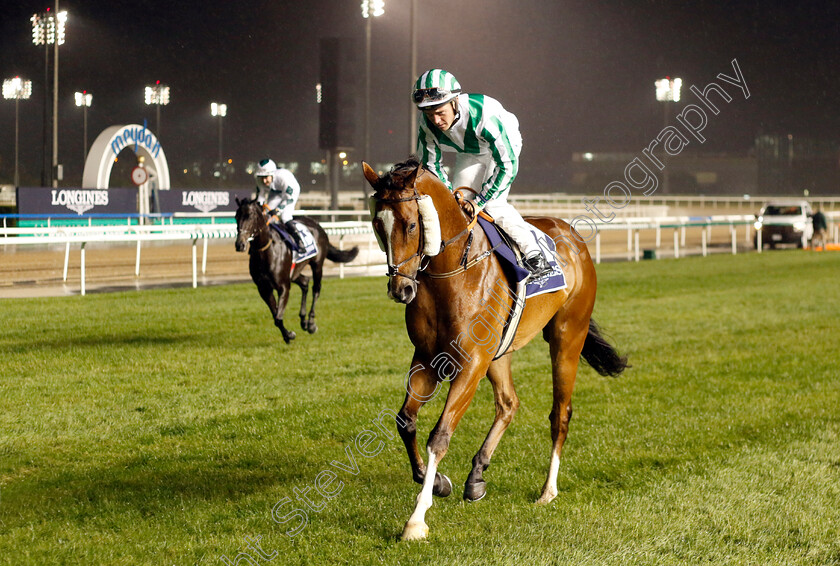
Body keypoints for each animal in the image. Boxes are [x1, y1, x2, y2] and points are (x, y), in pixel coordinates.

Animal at [233, 197, 358, 344]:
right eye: (236, 216)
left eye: (250, 216)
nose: (239, 244)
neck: (266, 251)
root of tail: (316, 224)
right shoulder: (264, 289)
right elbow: (276, 315)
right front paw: (288, 335)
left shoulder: (284, 286)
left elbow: (278, 317)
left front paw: (289, 334)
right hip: (294, 272)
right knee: (305, 282)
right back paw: (303, 321)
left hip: (317, 265)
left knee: (316, 289)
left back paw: (311, 323)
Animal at [364, 159, 628, 540]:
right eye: (376, 225)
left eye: (412, 224)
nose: (400, 290)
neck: (451, 272)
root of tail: (570, 232)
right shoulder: (427, 358)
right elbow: (405, 421)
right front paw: (438, 482)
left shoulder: (471, 363)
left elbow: (439, 435)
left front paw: (416, 519)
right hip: (500, 352)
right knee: (508, 403)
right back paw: (476, 476)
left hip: (568, 336)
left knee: (560, 414)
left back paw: (548, 490)